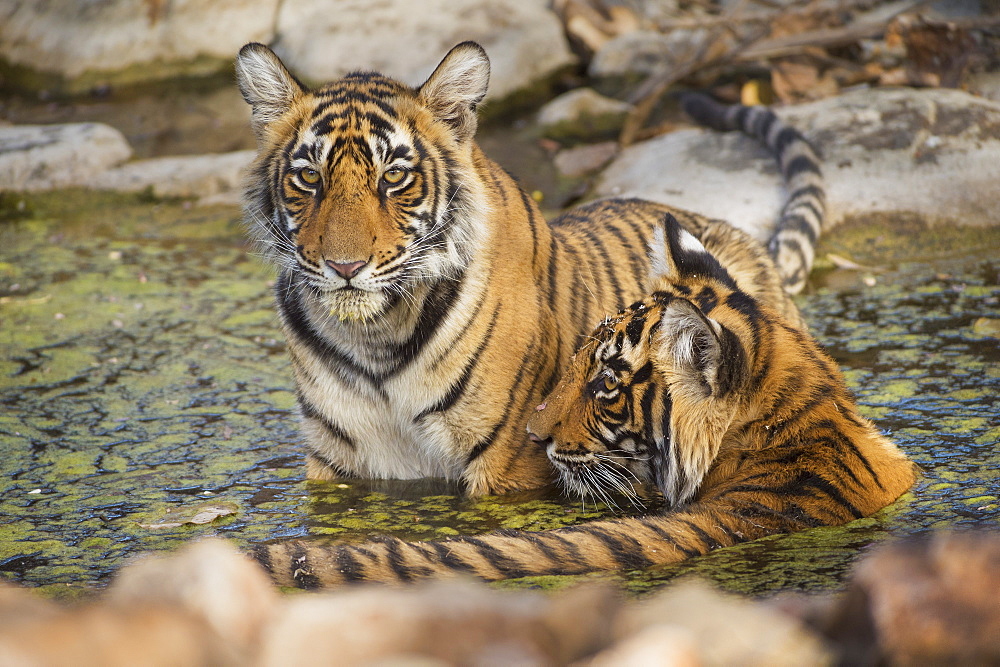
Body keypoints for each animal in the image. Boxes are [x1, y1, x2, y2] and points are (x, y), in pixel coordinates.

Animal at [236, 37, 828, 496]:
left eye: (394, 177)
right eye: (309, 177)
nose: (344, 266)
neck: (375, 339)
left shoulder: (509, 465)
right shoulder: (335, 466)